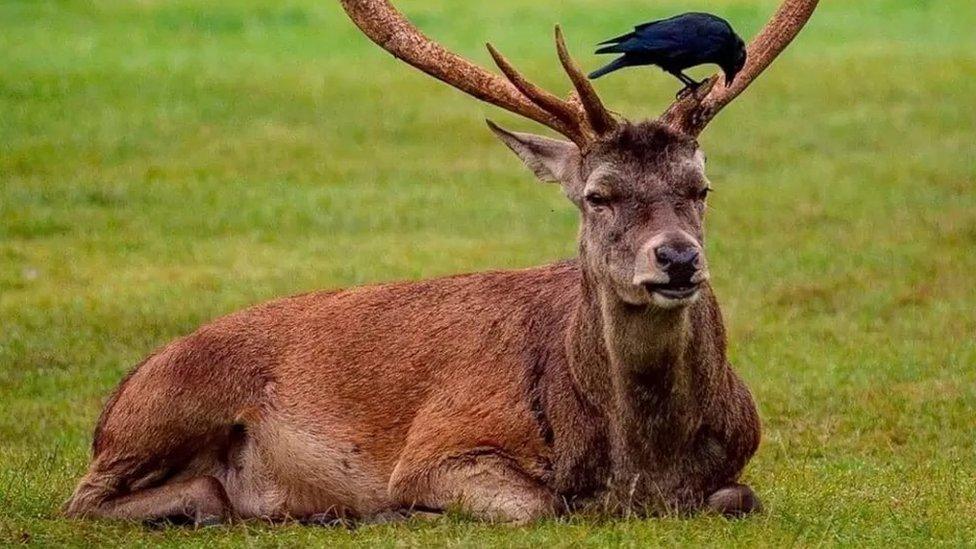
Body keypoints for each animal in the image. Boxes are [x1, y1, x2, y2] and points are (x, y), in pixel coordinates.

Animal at [65, 0, 820, 524]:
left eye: (701, 187)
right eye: (598, 195)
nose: (678, 259)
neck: (641, 465)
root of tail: (115, 399)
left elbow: (741, 497)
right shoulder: (440, 444)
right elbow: (539, 504)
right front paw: (398, 510)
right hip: (166, 410)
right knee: (84, 498)